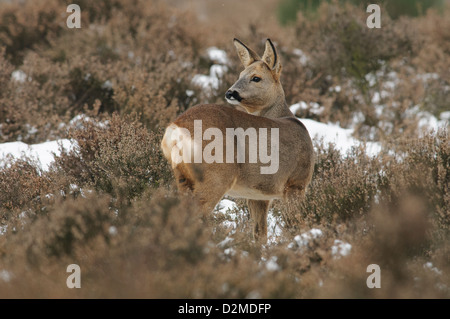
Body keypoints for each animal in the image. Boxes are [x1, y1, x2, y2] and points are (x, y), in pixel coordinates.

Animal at [161, 38, 312, 242]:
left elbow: (259, 233)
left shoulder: (258, 195)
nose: (230, 93)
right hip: (216, 175)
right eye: (241, 74)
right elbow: (296, 224)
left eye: (255, 77)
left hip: (183, 178)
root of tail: (175, 128)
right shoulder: (297, 182)